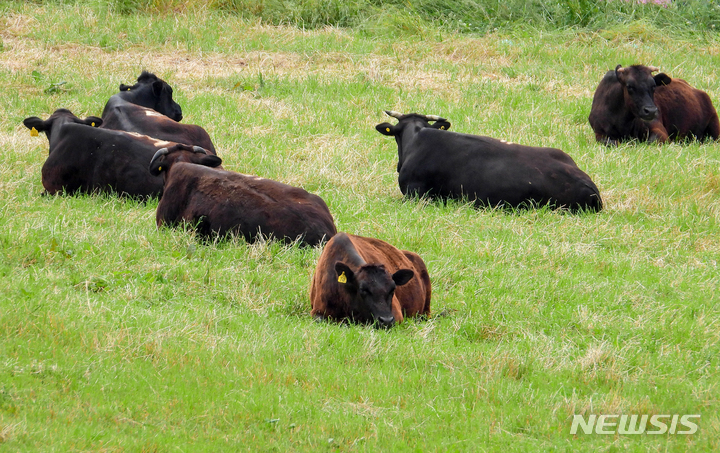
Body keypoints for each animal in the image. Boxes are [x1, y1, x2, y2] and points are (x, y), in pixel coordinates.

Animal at [588, 63, 716, 144]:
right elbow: (611, 142)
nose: (651, 111)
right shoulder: (599, 133)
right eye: (629, 86)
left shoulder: (659, 130)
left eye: (654, 86)